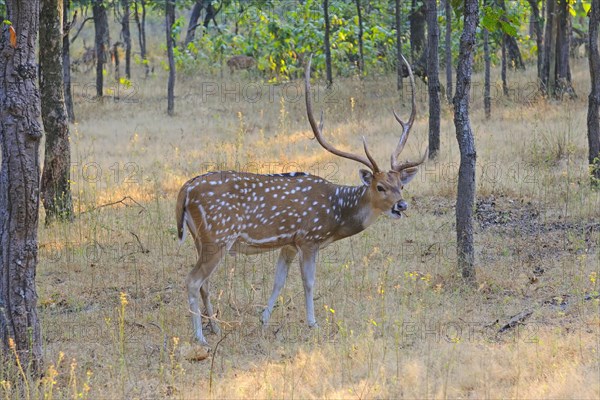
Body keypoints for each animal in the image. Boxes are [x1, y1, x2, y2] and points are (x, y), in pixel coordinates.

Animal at [178, 54, 426, 346]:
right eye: (380, 186)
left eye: (400, 185)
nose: (402, 205)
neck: (336, 214)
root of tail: (186, 190)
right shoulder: (309, 238)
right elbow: (309, 282)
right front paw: (312, 322)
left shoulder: (289, 242)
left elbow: (279, 281)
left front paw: (264, 319)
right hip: (218, 236)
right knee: (193, 280)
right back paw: (200, 337)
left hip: (200, 239)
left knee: (204, 282)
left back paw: (215, 327)